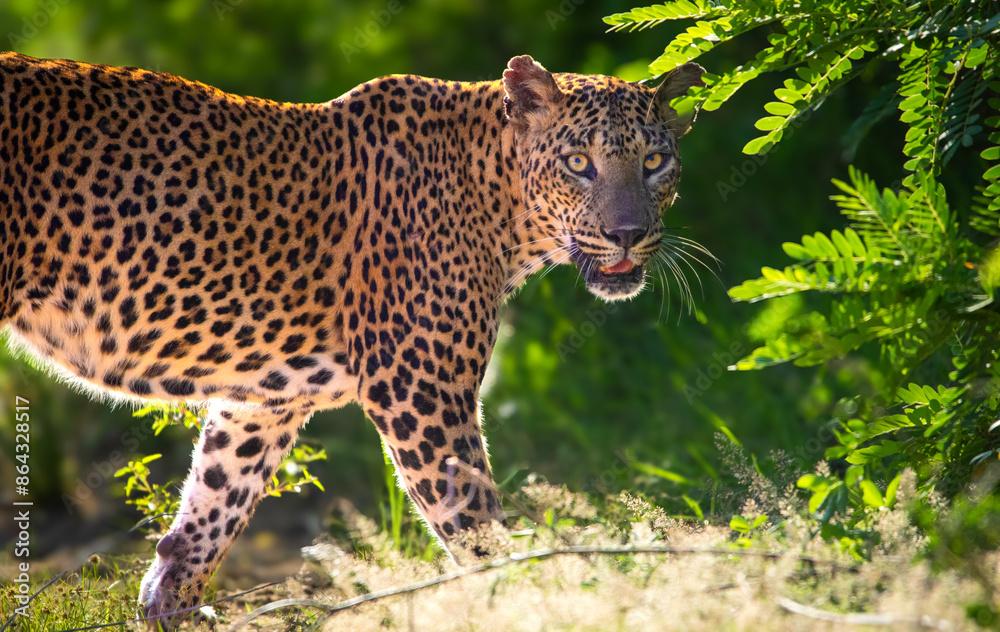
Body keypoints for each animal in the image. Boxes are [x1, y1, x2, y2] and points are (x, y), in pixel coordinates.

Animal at [0, 51, 704, 628]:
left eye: (655, 162)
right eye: (579, 164)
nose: (627, 234)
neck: (499, 203)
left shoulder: (266, 401)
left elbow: (211, 507)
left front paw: (168, 601)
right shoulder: (419, 386)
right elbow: (475, 526)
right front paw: (523, 604)